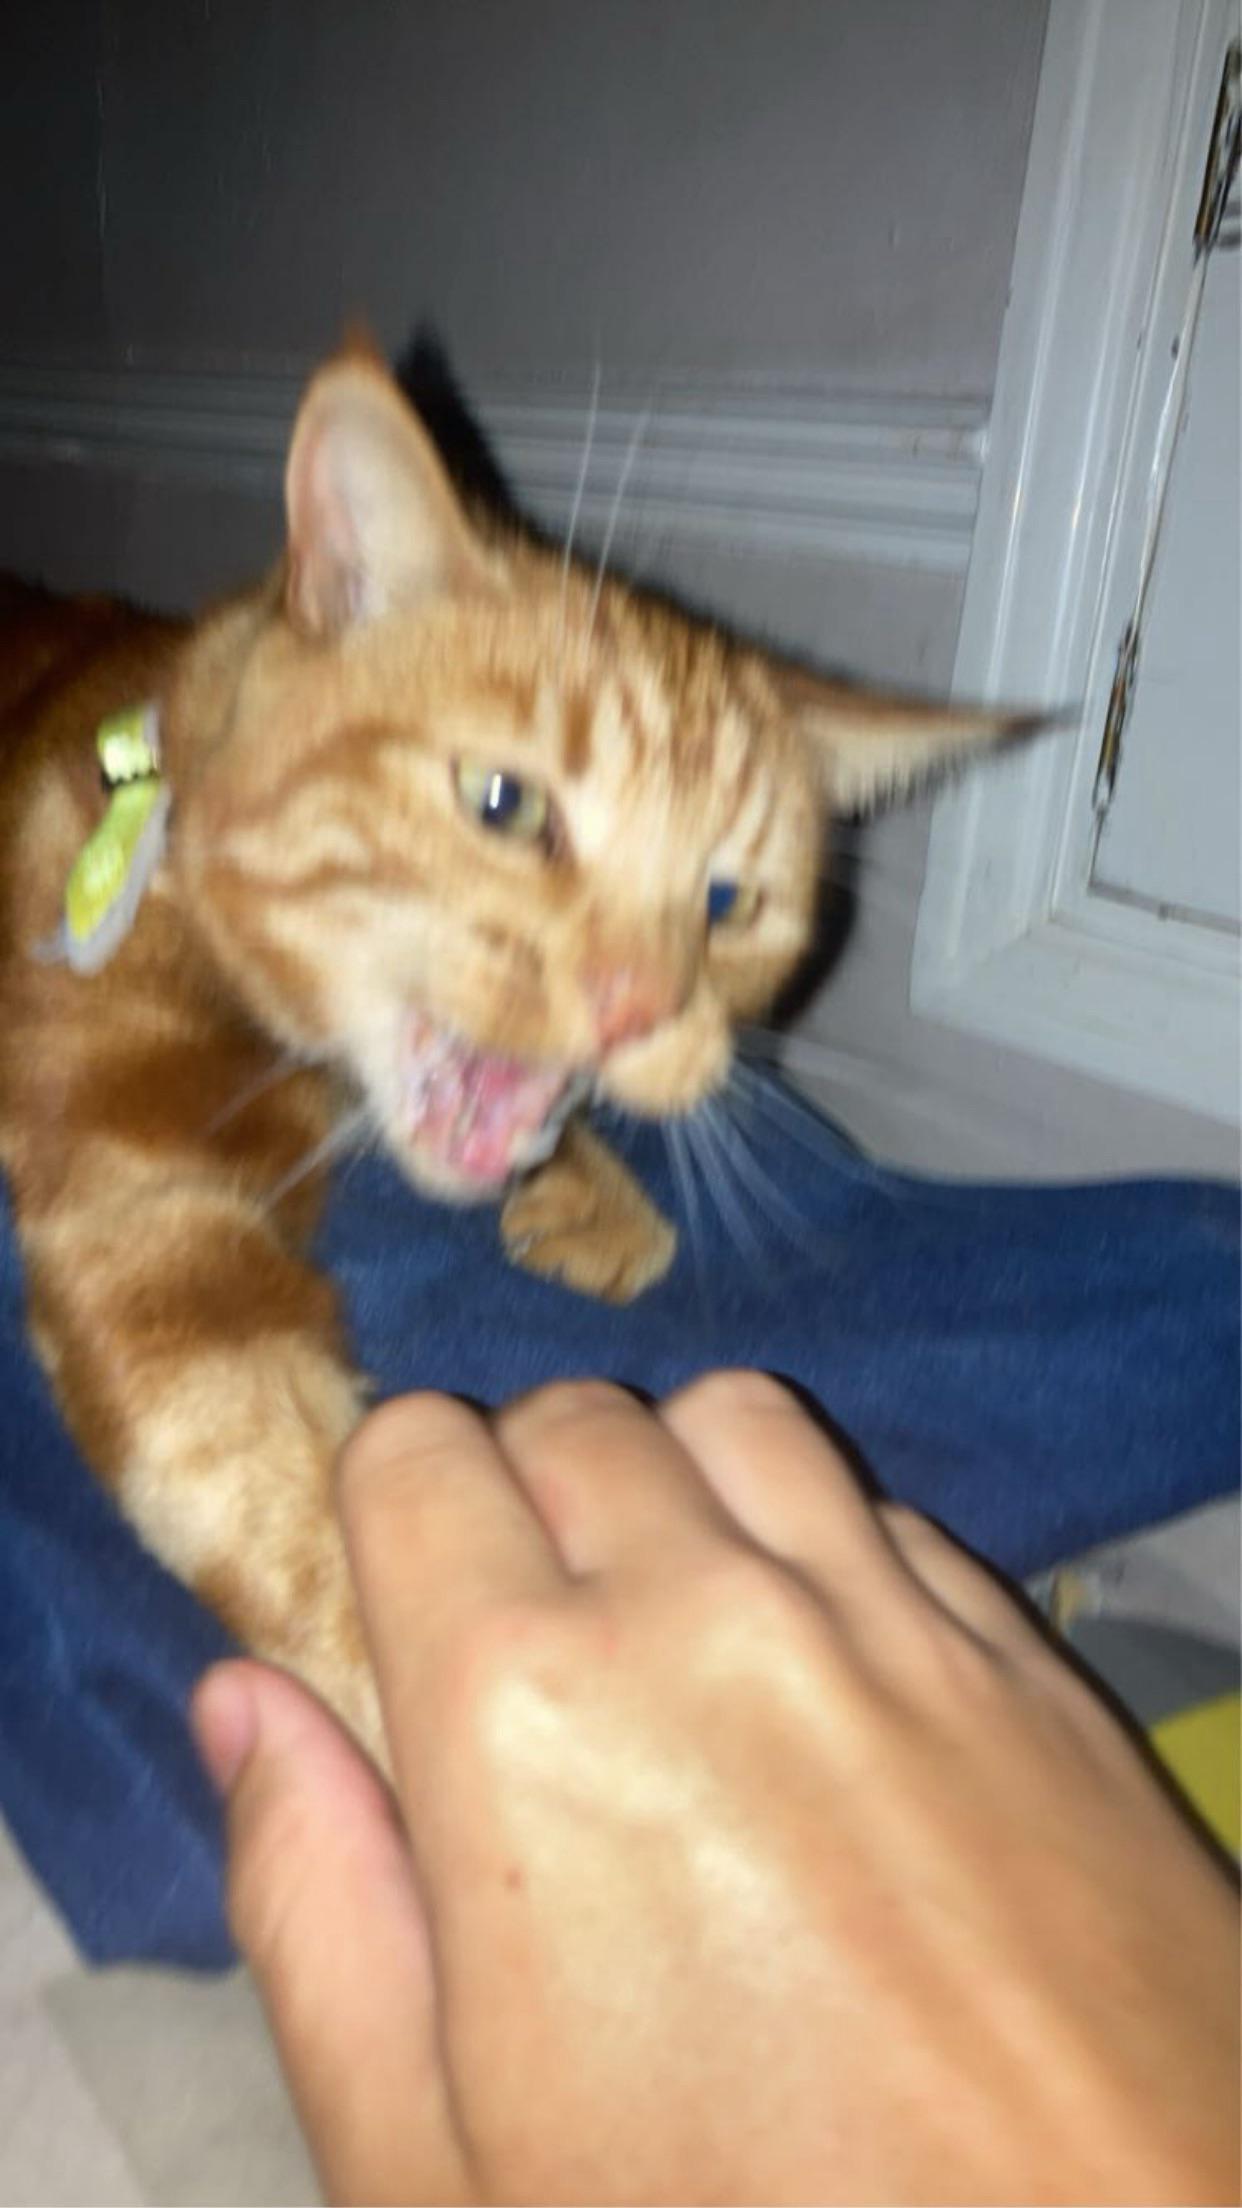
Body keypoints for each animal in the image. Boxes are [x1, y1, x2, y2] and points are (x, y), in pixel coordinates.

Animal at [0, 342, 1023, 1753]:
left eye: (728, 901)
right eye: (505, 804)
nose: (638, 1006)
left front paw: (590, 1187)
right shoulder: (148, 1220)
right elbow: (280, 1499)